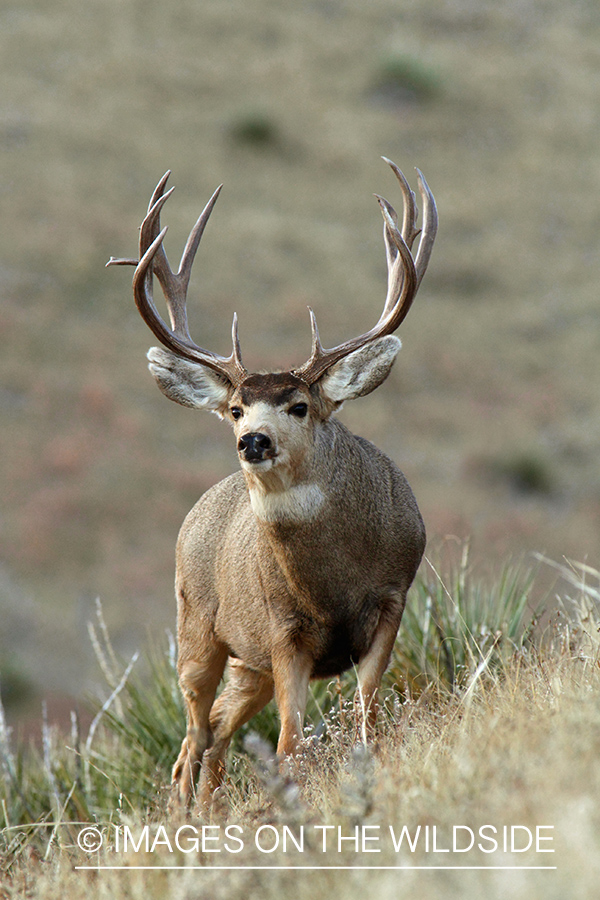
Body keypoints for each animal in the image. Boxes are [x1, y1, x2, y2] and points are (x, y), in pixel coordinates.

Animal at [107, 158, 437, 808]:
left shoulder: (392, 597)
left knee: (214, 736)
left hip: (247, 663)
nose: (253, 440)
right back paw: (186, 820)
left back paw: (209, 812)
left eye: (299, 405)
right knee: (192, 739)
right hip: (197, 627)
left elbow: (367, 715)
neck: (333, 583)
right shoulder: (284, 632)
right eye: (235, 408)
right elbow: (290, 742)